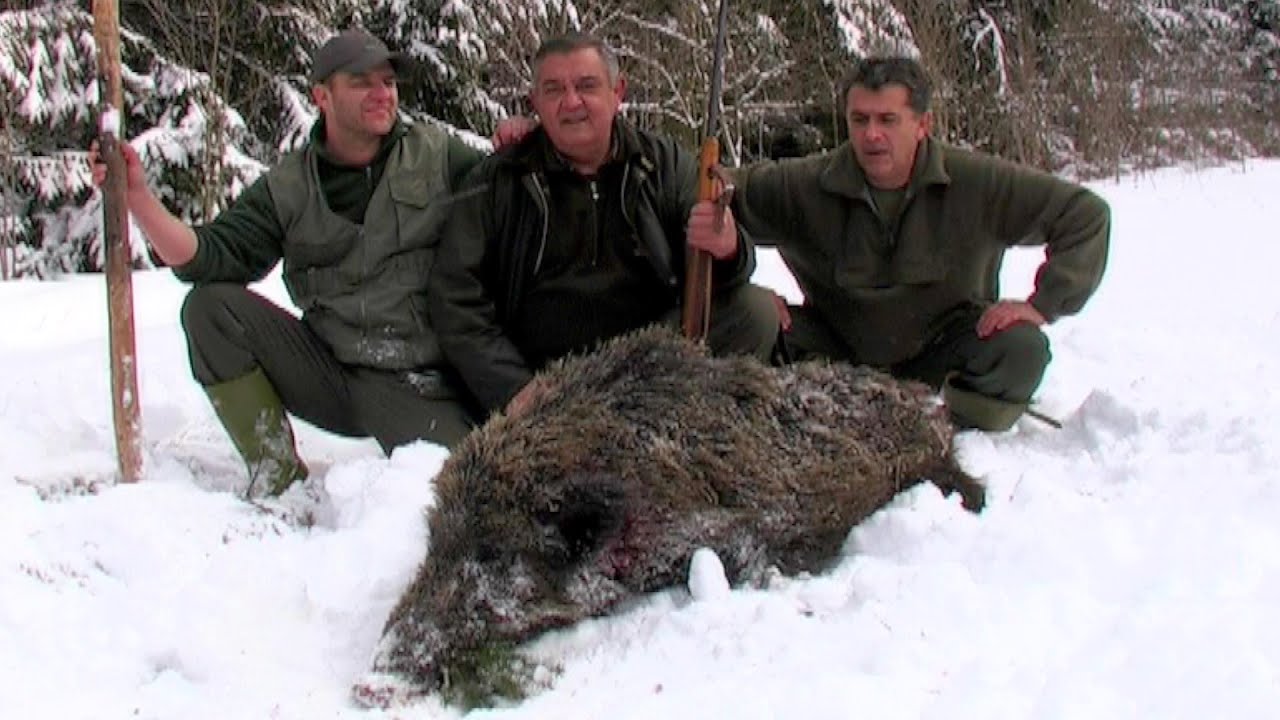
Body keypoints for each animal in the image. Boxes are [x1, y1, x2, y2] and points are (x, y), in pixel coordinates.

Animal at [358, 325, 984, 707]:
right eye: (434, 540)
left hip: (936, 467)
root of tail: (930, 404)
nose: (370, 683)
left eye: (491, 552)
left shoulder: (729, 531)